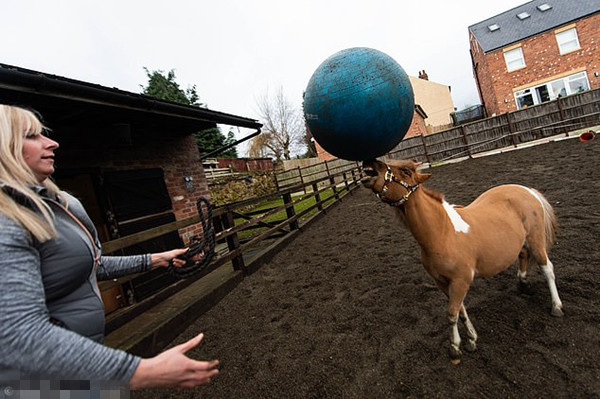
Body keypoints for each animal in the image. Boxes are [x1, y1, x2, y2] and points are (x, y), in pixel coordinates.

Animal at [360, 159, 564, 362]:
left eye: (405, 171)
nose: (370, 164)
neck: (442, 233)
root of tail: (528, 190)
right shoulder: (443, 282)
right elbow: (461, 311)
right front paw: (472, 339)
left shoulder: (461, 281)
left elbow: (452, 313)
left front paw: (455, 347)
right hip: (521, 243)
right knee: (523, 256)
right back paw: (523, 284)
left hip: (536, 240)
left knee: (548, 269)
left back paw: (556, 306)